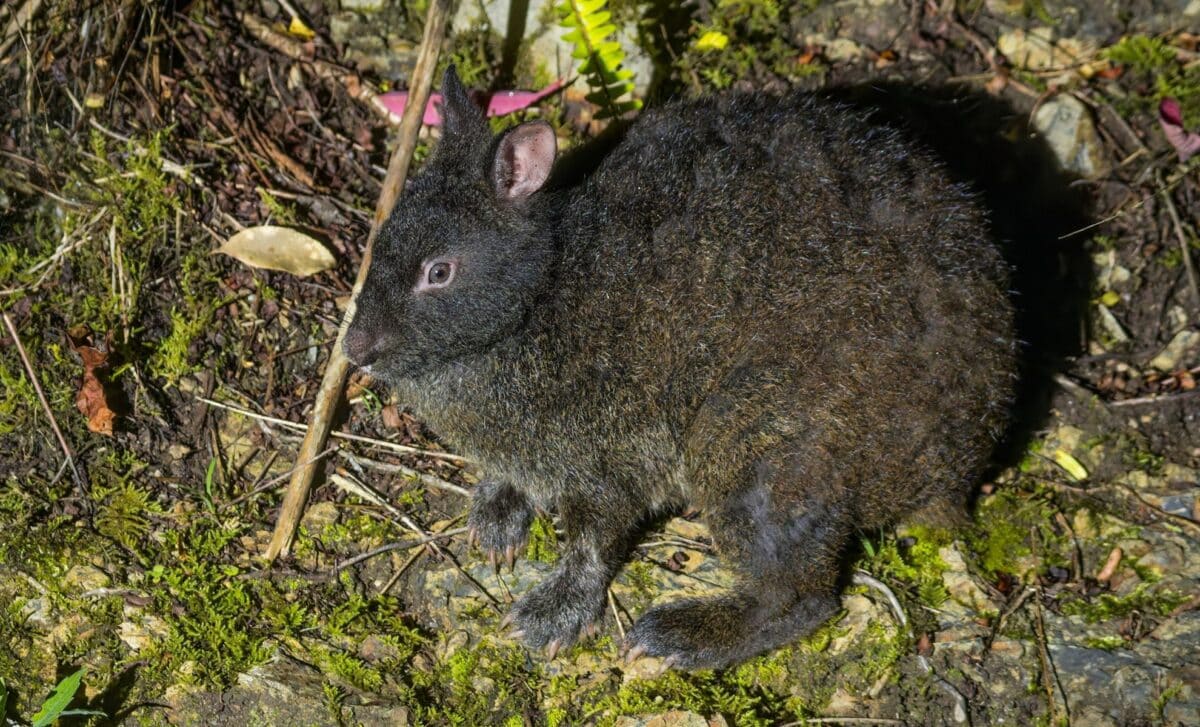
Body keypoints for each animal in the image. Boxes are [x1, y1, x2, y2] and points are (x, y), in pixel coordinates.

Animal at [343, 66, 1017, 669]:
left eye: (439, 272)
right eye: (380, 238)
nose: (355, 349)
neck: (539, 300)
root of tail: (960, 462)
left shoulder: (608, 459)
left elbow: (591, 546)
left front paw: (553, 616)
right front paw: (496, 516)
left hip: (752, 443)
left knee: (803, 599)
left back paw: (683, 637)